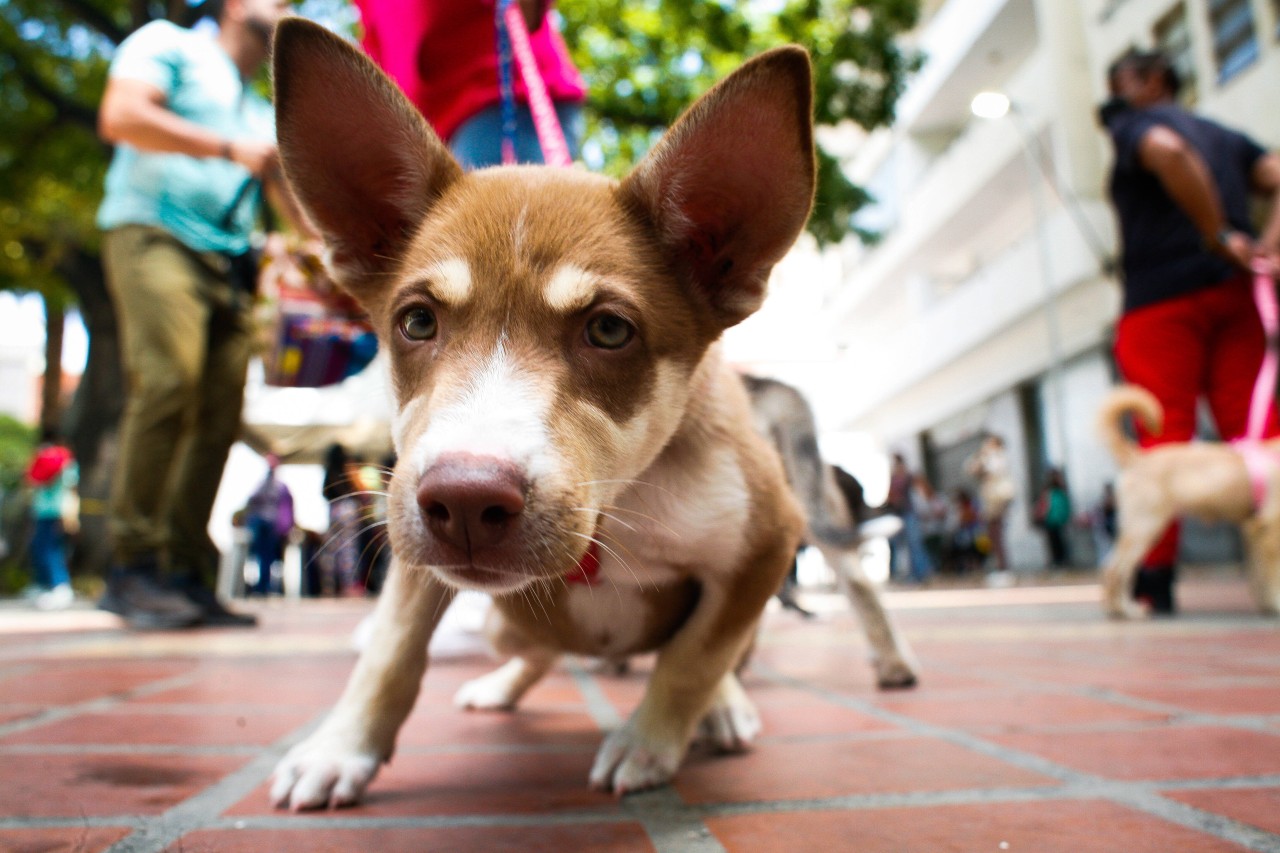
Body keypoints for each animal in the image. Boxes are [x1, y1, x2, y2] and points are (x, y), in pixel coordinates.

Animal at [266, 18, 814, 804]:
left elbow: (694, 658)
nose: (465, 502)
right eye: (417, 322)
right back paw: (501, 685)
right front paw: (342, 747)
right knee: (538, 654)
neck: (619, 502)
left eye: (609, 330)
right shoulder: (412, 543)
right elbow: (391, 651)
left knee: (718, 657)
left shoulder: (766, 543)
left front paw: (648, 743)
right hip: (500, 617)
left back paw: (723, 708)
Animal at [1090, 384, 1280, 617]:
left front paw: (1266, 604)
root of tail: (1138, 459)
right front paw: (1276, 603)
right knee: (1116, 569)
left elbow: (1258, 574)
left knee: (1111, 567)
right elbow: (1272, 574)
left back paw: (1117, 609)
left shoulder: (1253, 530)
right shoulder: (1269, 529)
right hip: (1145, 526)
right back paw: (1127, 610)